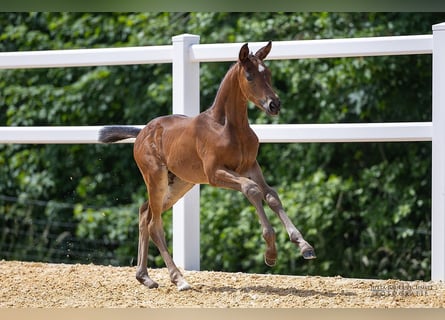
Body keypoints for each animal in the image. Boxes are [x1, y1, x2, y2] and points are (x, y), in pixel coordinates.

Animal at [99, 41, 316, 292]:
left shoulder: (251, 166)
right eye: (250, 76)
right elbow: (251, 190)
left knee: (145, 213)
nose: (274, 104)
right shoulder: (215, 173)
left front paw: (304, 246)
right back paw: (179, 278)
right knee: (154, 224)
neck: (229, 127)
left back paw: (145, 277)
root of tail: (142, 132)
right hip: (155, 177)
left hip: (180, 183)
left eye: (268, 74)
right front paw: (270, 252)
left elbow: (271, 195)